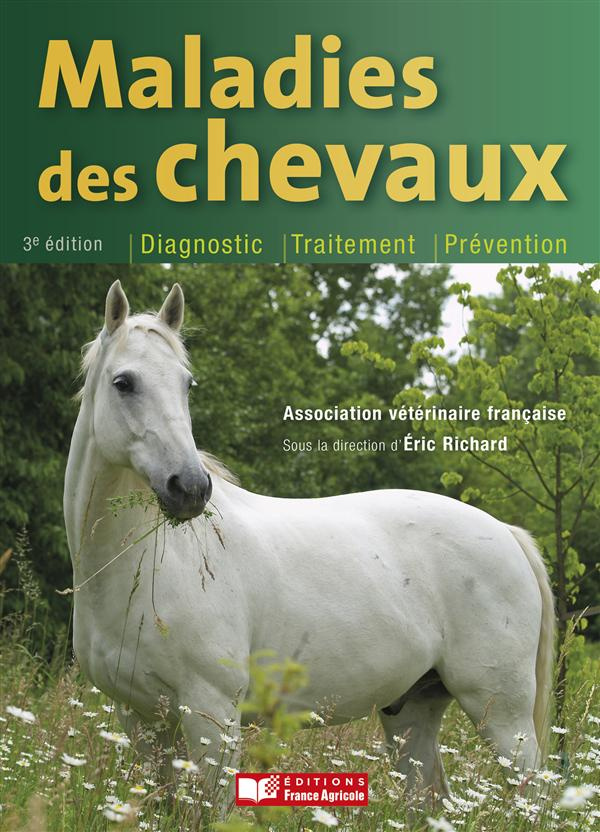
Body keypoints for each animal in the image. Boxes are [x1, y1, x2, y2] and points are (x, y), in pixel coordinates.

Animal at [64, 280, 555, 804]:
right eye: (124, 383)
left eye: (186, 384)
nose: (190, 488)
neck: (147, 564)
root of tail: (507, 534)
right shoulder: (140, 720)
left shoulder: (211, 716)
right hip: (412, 715)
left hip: (503, 718)